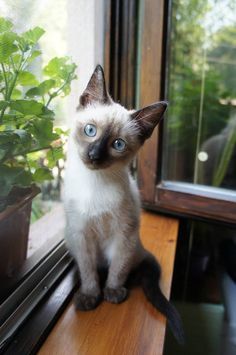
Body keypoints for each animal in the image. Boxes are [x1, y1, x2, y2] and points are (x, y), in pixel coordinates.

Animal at [64, 64, 184, 344]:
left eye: (117, 144)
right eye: (90, 131)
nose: (94, 155)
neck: (95, 184)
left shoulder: (124, 235)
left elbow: (118, 268)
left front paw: (112, 293)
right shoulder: (81, 235)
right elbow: (88, 271)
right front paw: (90, 296)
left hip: (139, 253)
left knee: (132, 272)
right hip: (71, 240)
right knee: (85, 267)